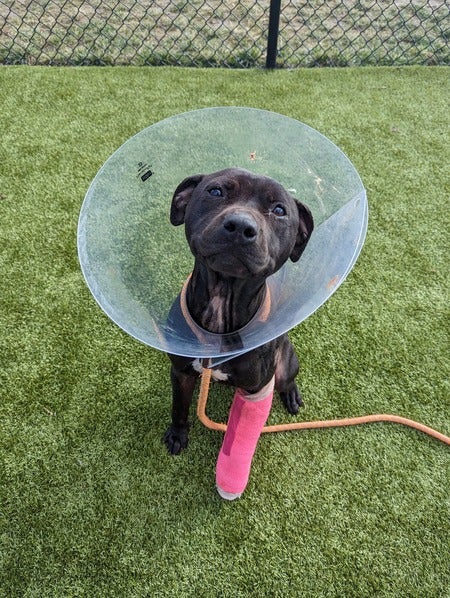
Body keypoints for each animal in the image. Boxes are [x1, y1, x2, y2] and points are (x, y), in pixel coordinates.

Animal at [163, 169, 314, 454]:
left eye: (279, 210)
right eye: (216, 191)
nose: (241, 226)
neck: (222, 300)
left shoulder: (255, 388)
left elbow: (242, 426)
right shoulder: (181, 372)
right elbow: (179, 407)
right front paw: (177, 434)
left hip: (285, 365)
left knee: (286, 380)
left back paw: (291, 394)